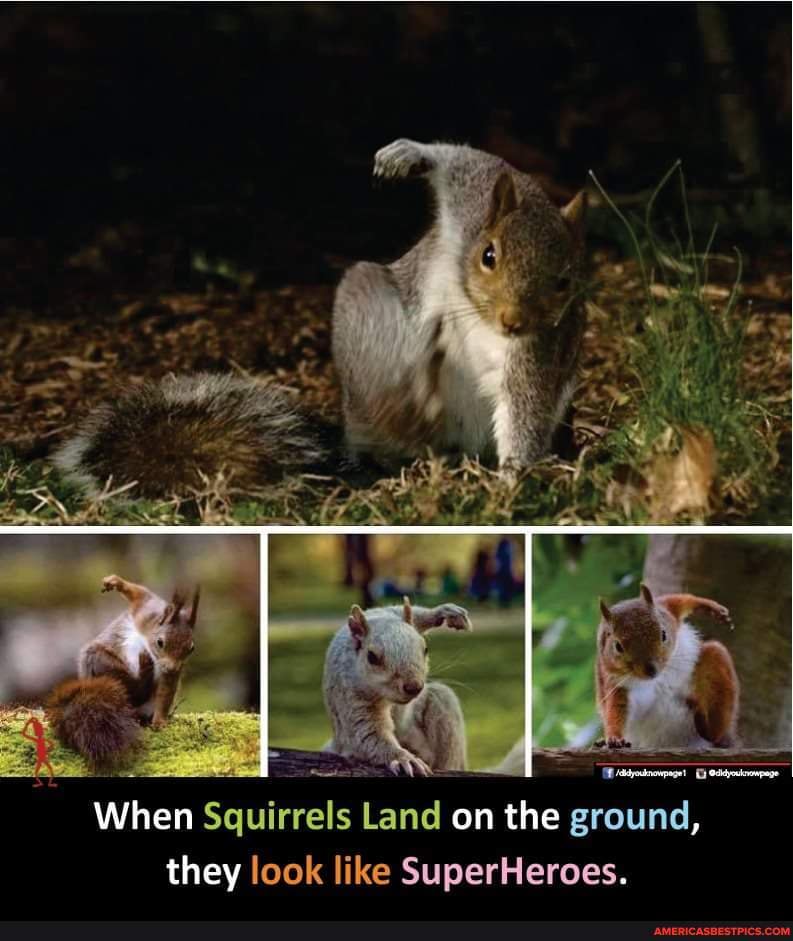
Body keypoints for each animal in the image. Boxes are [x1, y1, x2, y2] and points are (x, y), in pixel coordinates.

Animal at [47, 573, 199, 768]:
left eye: (191, 648)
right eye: (160, 642)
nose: (171, 668)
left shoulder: (169, 672)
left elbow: (166, 691)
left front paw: (160, 721)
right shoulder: (145, 610)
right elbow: (139, 593)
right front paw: (115, 582)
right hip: (99, 661)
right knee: (128, 685)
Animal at [51, 139, 586, 499]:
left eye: (565, 281)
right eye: (488, 255)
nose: (514, 321)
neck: (476, 307)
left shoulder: (539, 349)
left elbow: (526, 405)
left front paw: (514, 478)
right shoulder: (471, 202)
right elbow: (462, 161)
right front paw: (406, 155)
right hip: (364, 307)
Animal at [322, 596, 472, 776]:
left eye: (426, 649)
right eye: (372, 657)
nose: (414, 687)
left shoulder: (388, 613)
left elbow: (409, 613)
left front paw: (447, 611)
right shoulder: (350, 695)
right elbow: (368, 733)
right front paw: (403, 758)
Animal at [595, 584, 739, 750]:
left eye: (663, 634)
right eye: (618, 646)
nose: (651, 670)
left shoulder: (667, 609)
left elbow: (681, 600)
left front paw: (712, 607)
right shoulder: (616, 684)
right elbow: (615, 710)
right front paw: (614, 738)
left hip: (716, 661)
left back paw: (708, 726)